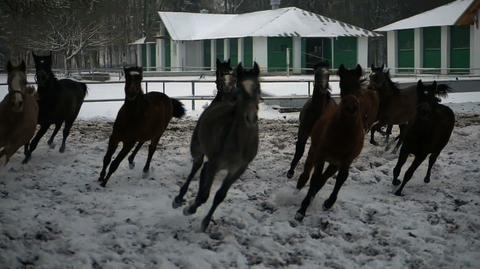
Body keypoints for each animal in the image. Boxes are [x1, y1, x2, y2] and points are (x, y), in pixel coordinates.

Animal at [294, 68, 366, 221]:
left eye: (358, 85)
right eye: (341, 84)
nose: (351, 107)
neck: (343, 133)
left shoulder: (345, 161)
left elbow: (340, 178)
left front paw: (328, 203)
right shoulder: (321, 154)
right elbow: (315, 178)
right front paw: (301, 210)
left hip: (334, 163)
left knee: (323, 177)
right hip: (315, 148)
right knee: (308, 163)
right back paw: (301, 182)